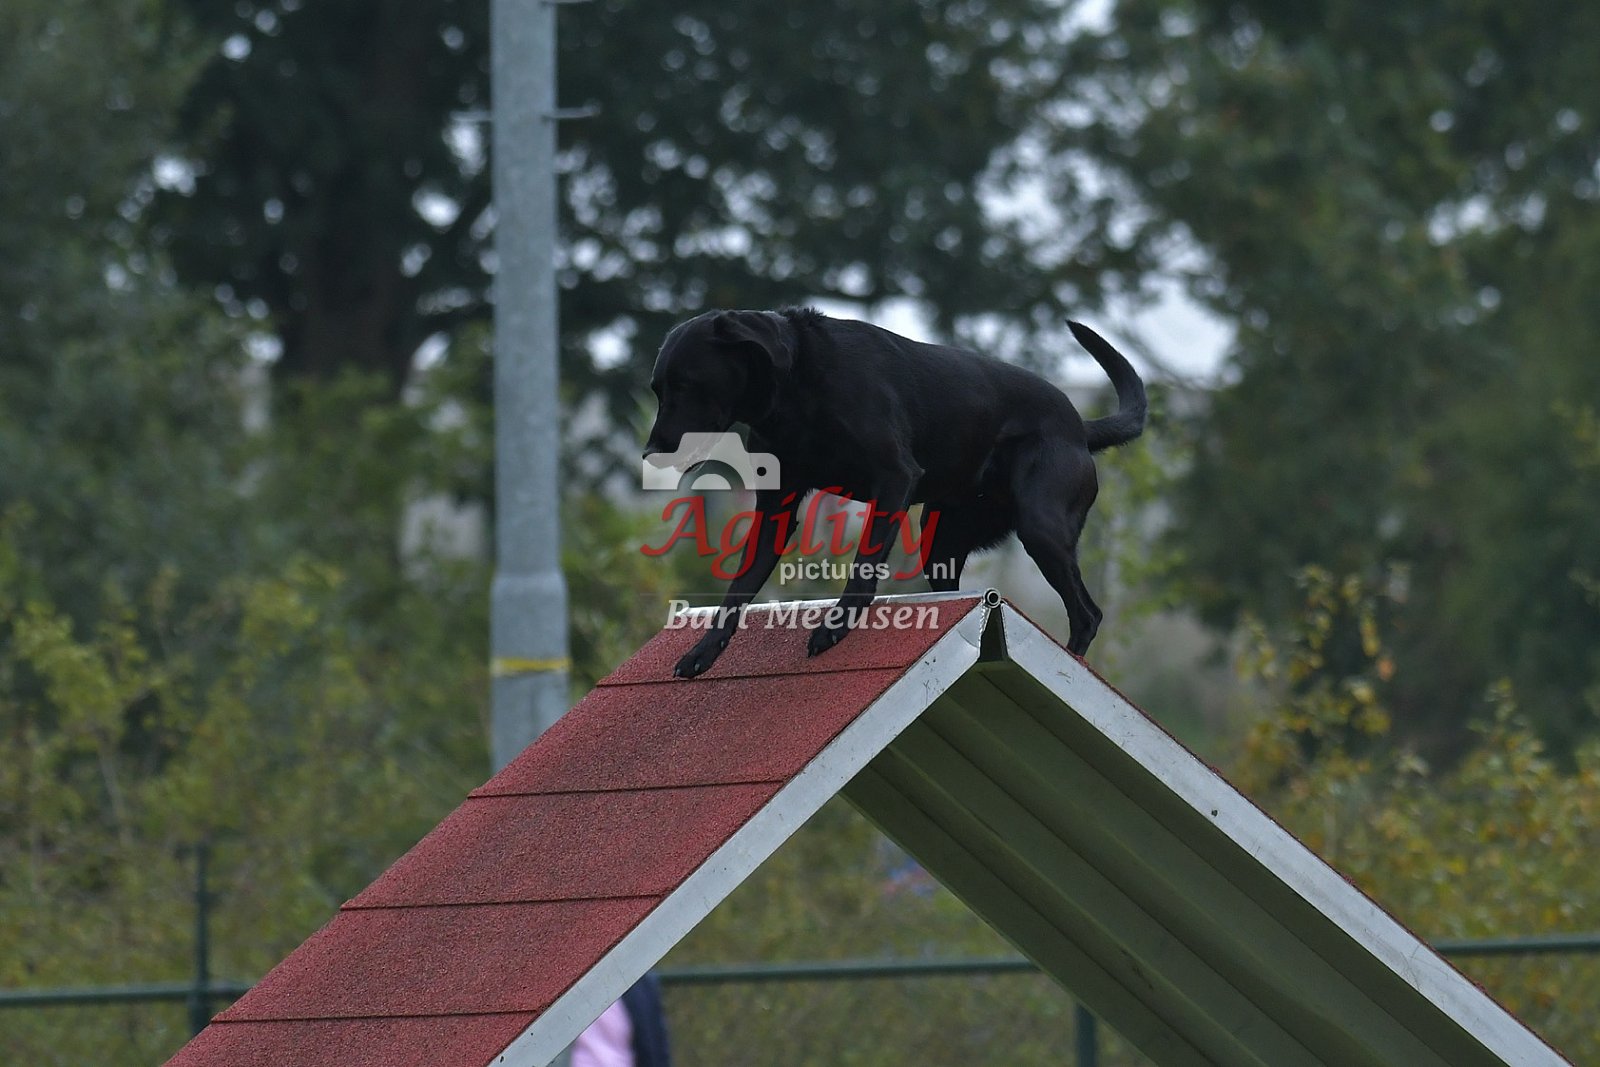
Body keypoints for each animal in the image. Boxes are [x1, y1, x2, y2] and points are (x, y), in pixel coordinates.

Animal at [642, 307, 1146, 678]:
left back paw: (1074, 664)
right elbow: (738, 588)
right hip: (940, 541)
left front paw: (835, 627)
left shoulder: (895, 478)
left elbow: (864, 562)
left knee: (1088, 613)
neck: (797, 391)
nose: (651, 453)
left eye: (687, 384)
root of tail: (1079, 426)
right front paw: (703, 653)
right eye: (657, 389)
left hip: (1040, 527)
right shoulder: (776, 507)